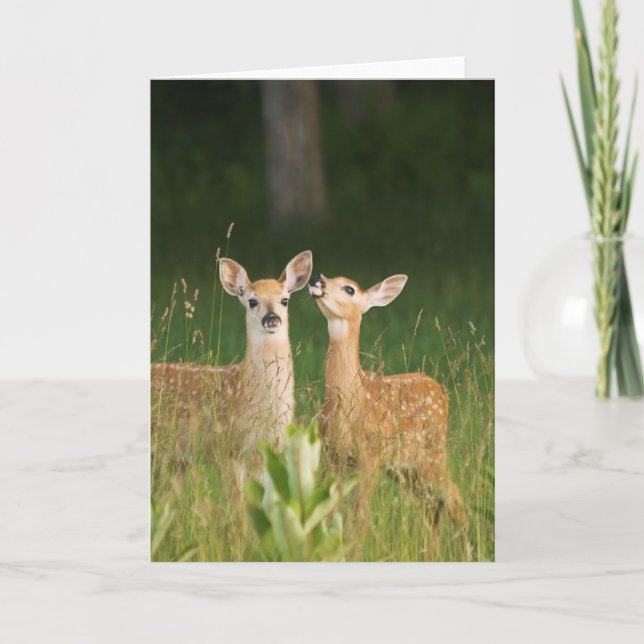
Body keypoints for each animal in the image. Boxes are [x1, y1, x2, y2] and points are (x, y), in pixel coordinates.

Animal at [308, 272, 465, 525]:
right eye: (326, 275)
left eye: (349, 289)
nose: (316, 279)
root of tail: (442, 392)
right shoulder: (332, 455)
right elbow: (333, 511)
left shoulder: (370, 454)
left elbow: (360, 515)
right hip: (404, 467)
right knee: (432, 505)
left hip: (433, 452)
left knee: (453, 497)